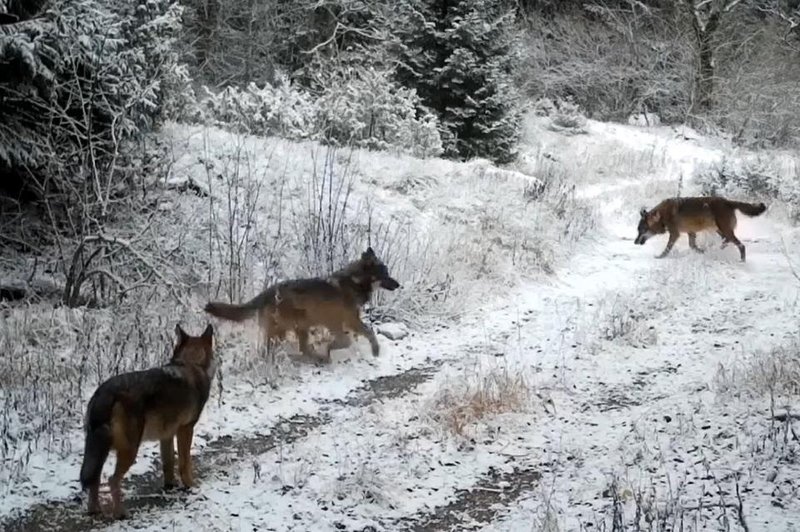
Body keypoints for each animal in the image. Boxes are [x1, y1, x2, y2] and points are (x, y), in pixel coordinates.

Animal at [79, 322, 216, 516]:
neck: (190, 364)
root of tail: (104, 393)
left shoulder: (166, 435)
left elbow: (168, 462)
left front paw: (170, 485)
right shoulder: (186, 429)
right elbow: (184, 462)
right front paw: (191, 485)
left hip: (99, 450)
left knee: (95, 479)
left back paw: (95, 510)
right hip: (129, 449)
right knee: (112, 480)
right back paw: (120, 513)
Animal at [202, 247, 398, 364]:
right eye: (386, 274)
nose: (398, 285)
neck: (355, 281)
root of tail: (268, 292)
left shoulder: (345, 323)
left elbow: (360, 335)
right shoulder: (346, 322)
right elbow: (354, 338)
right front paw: (373, 351)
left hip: (300, 325)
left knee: (299, 349)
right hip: (291, 326)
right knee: (279, 350)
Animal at [636, 195, 764, 262]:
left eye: (641, 230)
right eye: (638, 230)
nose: (635, 242)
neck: (662, 215)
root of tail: (728, 201)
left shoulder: (675, 234)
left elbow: (667, 249)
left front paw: (660, 257)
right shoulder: (691, 233)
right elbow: (693, 246)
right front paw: (703, 252)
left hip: (724, 230)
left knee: (741, 245)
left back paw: (741, 261)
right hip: (720, 230)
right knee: (726, 241)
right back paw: (716, 250)